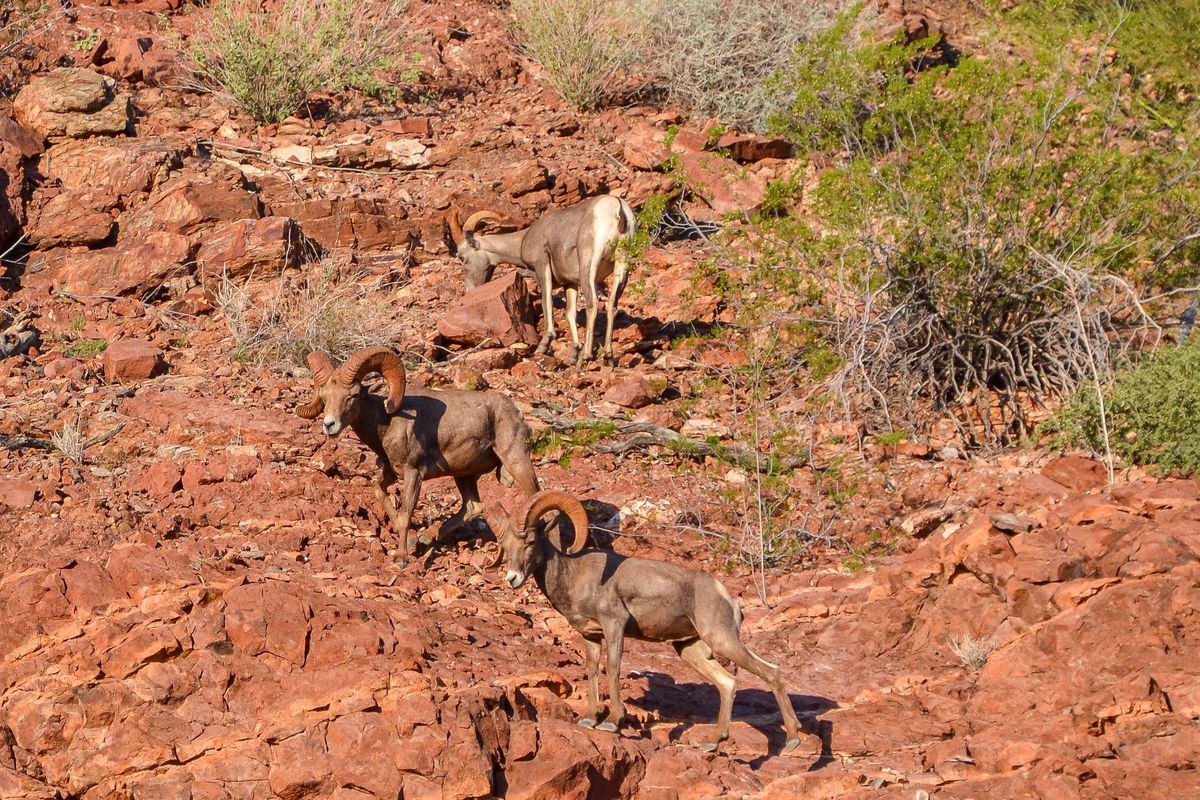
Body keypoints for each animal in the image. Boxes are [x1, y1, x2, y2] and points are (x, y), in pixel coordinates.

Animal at [297, 345, 542, 563]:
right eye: (325, 396)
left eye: (353, 395)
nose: (330, 425)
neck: (387, 422)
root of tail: (517, 412)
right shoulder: (391, 473)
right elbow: (380, 493)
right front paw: (412, 540)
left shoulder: (413, 474)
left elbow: (406, 515)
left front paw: (401, 558)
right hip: (464, 476)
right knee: (473, 506)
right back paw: (427, 538)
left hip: (517, 462)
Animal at [448, 196, 638, 367]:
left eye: (462, 257)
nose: (470, 291)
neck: (523, 239)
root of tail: (617, 207)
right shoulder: (570, 284)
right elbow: (570, 314)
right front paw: (572, 356)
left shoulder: (542, 267)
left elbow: (547, 303)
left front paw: (543, 346)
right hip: (622, 265)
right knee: (612, 305)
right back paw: (608, 357)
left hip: (589, 267)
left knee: (592, 305)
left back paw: (585, 357)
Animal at [487, 491, 806, 753]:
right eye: (505, 544)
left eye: (530, 542)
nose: (512, 578)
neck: (574, 576)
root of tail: (725, 595)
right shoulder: (591, 636)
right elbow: (592, 671)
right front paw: (589, 719)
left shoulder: (614, 626)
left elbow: (613, 669)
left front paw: (612, 722)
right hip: (691, 650)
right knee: (728, 683)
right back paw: (713, 743)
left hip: (722, 640)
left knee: (771, 672)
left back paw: (792, 740)